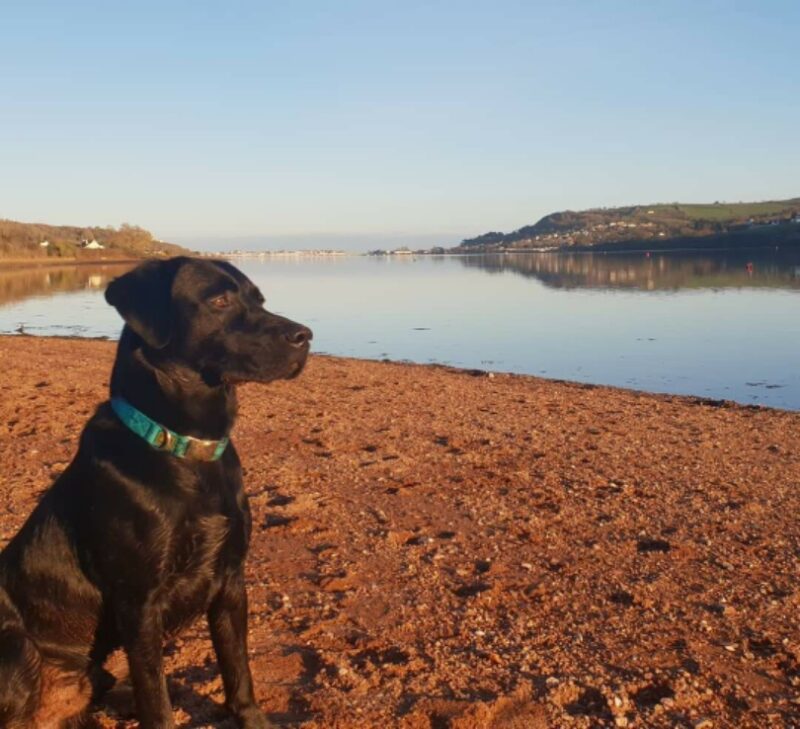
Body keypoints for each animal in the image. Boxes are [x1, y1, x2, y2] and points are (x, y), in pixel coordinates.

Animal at [0, 258, 310, 728]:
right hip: (14, 643)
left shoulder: (231, 581)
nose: (305, 336)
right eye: (220, 300)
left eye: (259, 300)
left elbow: (239, 672)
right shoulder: (139, 603)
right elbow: (156, 699)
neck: (185, 448)